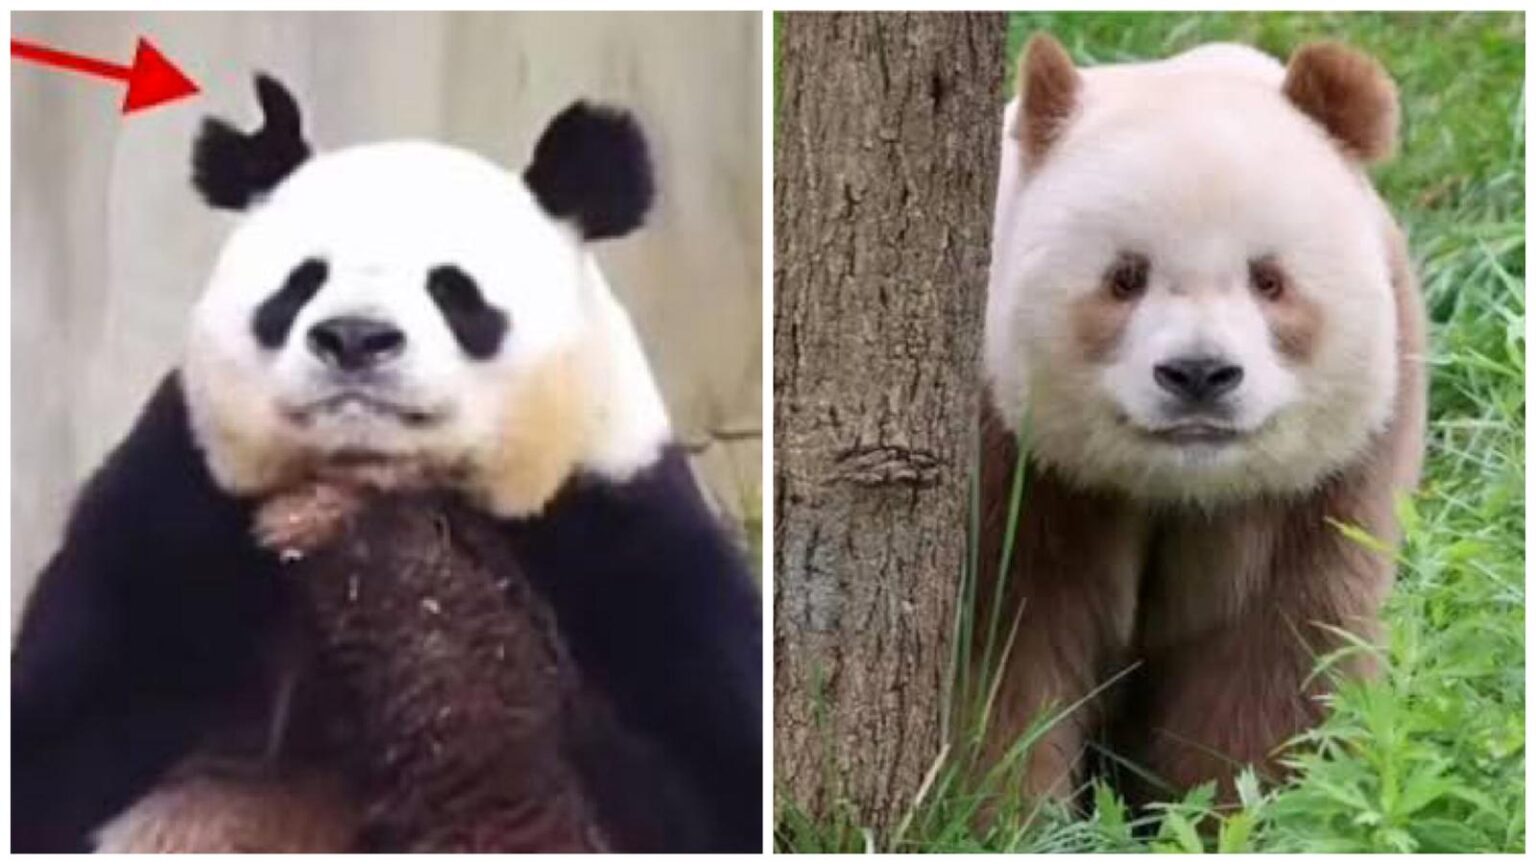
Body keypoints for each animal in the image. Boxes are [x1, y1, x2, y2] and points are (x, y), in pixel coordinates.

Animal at [12, 75, 762, 852]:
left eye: (453, 290)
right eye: (301, 283)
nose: (354, 337)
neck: (375, 476)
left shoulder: (614, 518)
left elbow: (703, 769)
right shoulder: (176, 505)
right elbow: (66, 731)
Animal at [975, 36, 1426, 805]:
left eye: (1269, 280)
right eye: (1125, 277)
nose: (1199, 375)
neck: (1177, 484)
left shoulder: (1324, 477)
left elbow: (1275, 657)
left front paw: (1240, 805)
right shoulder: (1017, 454)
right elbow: (1010, 644)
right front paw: (1003, 809)